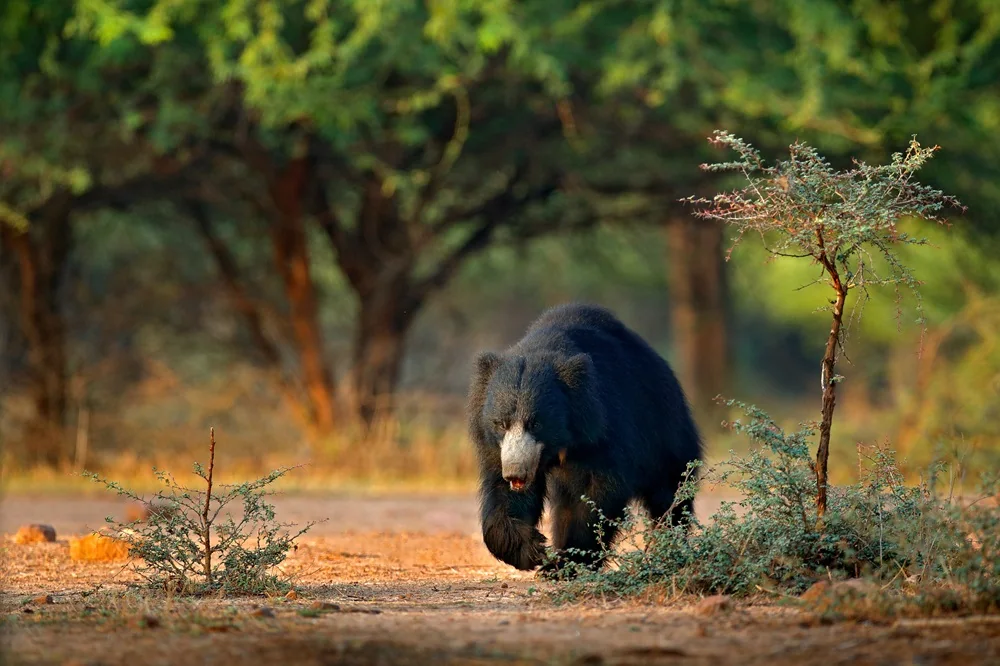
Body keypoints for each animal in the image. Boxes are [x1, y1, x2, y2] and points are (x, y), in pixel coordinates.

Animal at [466, 303, 703, 573]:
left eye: (536, 423)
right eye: (501, 424)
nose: (516, 472)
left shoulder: (603, 430)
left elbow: (594, 494)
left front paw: (565, 563)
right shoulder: (497, 447)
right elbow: (502, 493)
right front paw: (531, 549)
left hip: (664, 430)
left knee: (670, 491)